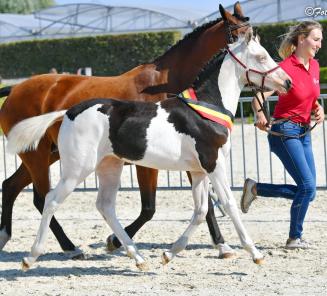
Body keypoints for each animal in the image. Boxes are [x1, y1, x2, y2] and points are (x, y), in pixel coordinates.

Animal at [6, 26, 290, 270]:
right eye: (260, 56)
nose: (287, 82)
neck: (206, 108)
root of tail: (68, 112)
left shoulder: (198, 171)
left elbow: (201, 211)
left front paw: (169, 253)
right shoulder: (213, 164)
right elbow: (229, 204)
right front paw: (255, 253)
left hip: (109, 166)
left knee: (105, 206)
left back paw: (137, 257)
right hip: (75, 168)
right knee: (51, 200)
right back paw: (34, 256)